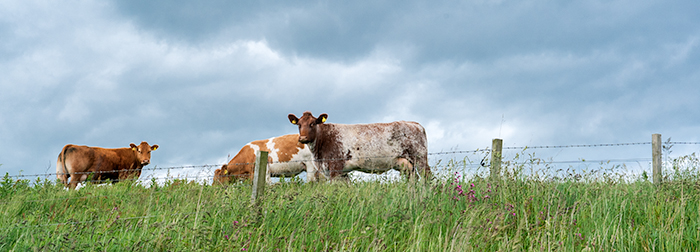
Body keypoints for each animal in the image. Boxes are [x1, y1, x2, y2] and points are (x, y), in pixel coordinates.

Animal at [288, 111, 432, 180]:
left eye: (312, 124)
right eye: (299, 125)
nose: (303, 138)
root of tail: (414, 124)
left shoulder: (335, 167)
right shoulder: (341, 172)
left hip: (419, 158)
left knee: (426, 176)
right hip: (405, 163)